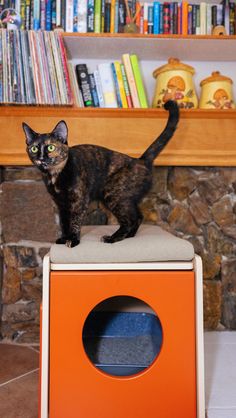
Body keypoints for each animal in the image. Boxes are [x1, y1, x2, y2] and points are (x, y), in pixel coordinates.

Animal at [23, 99, 179, 247]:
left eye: (50, 147)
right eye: (34, 149)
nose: (40, 157)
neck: (55, 176)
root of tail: (140, 160)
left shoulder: (78, 201)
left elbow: (74, 222)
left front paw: (73, 240)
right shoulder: (60, 204)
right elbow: (63, 222)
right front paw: (64, 238)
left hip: (113, 195)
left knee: (129, 220)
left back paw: (112, 238)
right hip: (126, 199)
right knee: (138, 217)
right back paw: (128, 236)